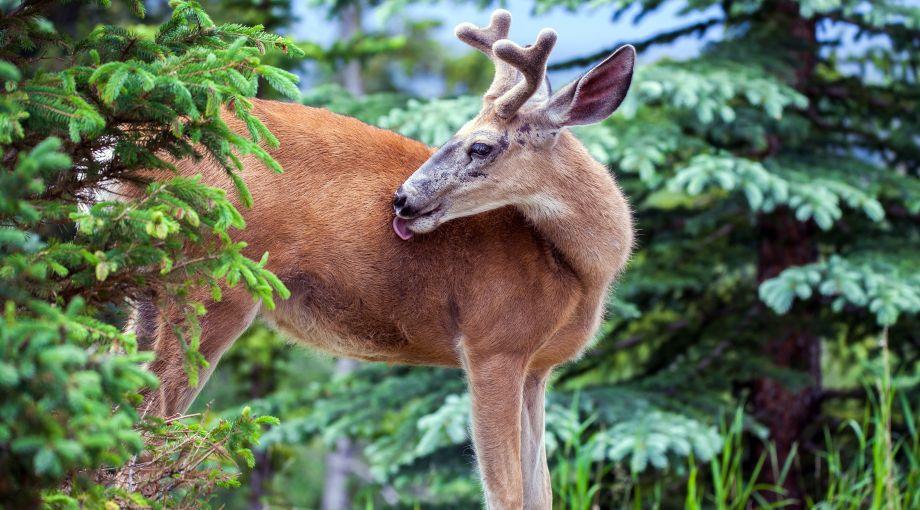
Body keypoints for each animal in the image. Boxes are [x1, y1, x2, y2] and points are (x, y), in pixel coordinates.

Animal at [126, 8, 636, 510]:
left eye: (480, 145)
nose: (402, 199)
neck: (575, 271)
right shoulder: (492, 343)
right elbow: (506, 493)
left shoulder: (537, 368)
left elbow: (539, 490)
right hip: (213, 284)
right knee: (149, 431)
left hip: (152, 291)